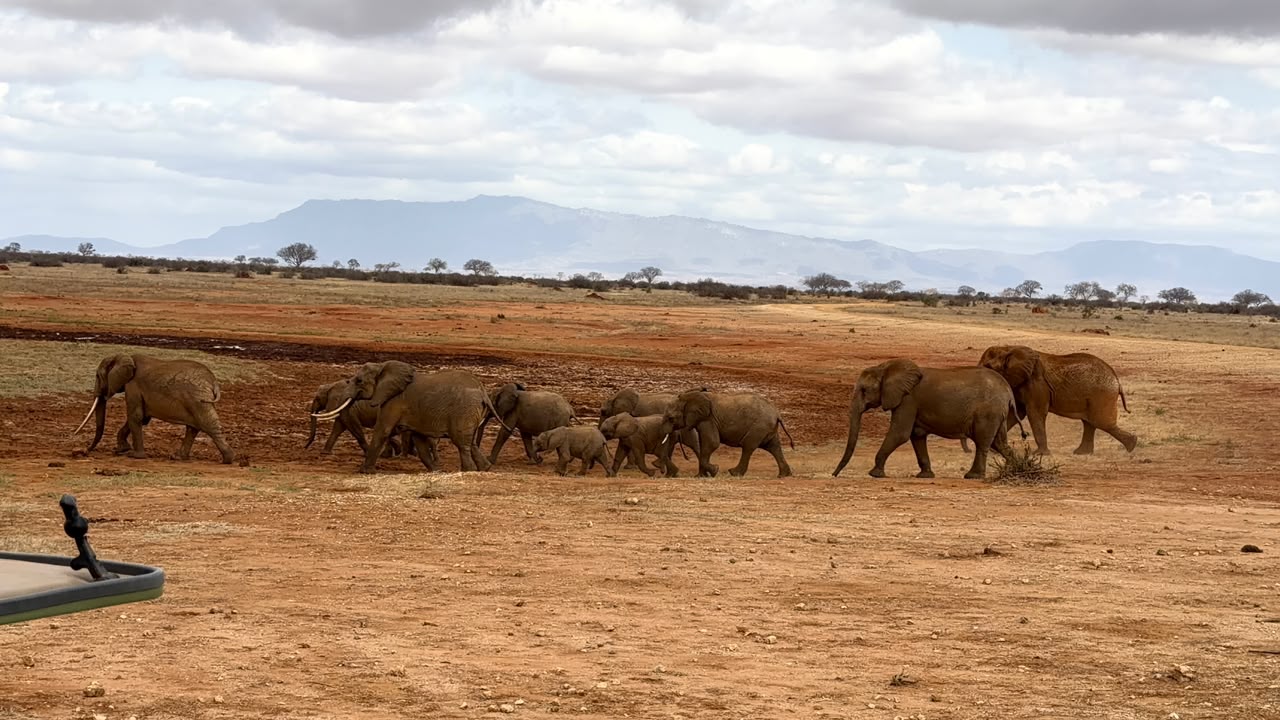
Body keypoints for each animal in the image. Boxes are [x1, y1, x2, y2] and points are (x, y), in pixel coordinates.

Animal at [73, 353, 234, 464]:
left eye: (97, 376)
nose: (85, 451)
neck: (126, 356)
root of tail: (213, 381)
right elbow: (142, 418)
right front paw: (121, 450)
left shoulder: (133, 387)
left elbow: (136, 416)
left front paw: (134, 456)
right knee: (193, 428)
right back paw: (177, 457)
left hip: (198, 399)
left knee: (208, 425)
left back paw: (228, 459)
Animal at [311, 361, 503, 474]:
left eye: (359, 381)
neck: (383, 368)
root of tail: (483, 391)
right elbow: (420, 441)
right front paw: (435, 471)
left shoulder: (394, 400)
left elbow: (383, 430)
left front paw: (364, 471)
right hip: (471, 412)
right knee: (470, 442)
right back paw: (484, 469)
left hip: (463, 411)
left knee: (461, 442)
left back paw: (467, 471)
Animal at [664, 390, 794, 478]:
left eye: (671, 418)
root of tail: (777, 414)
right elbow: (704, 444)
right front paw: (700, 476)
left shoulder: (708, 419)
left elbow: (712, 443)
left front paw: (715, 470)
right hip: (766, 428)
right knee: (774, 447)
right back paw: (784, 475)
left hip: (759, 426)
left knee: (748, 446)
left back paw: (734, 473)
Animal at [832, 359, 1019, 480]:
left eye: (864, 390)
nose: (834, 475)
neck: (885, 368)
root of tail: (1008, 390)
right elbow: (916, 436)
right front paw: (925, 476)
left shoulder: (908, 400)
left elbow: (900, 434)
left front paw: (875, 474)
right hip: (997, 414)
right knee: (999, 443)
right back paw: (1015, 469)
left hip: (987, 413)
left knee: (982, 442)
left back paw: (972, 476)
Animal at [976, 345, 1136, 455]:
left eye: (988, 366)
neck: (1009, 348)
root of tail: (1117, 381)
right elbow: (1017, 414)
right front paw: (994, 450)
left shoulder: (1037, 383)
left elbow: (1034, 413)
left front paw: (1039, 454)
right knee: (1090, 423)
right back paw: (1081, 453)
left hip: (1102, 396)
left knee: (1102, 423)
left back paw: (1132, 446)